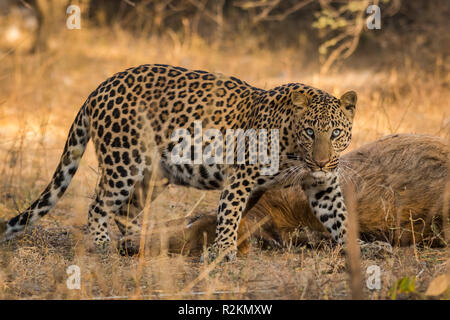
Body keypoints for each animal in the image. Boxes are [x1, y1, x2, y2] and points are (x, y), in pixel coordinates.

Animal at [0, 63, 358, 260]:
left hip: (153, 174)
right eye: (310, 131)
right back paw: (102, 245)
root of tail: (98, 88)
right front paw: (223, 251)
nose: (322, 162)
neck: (296, 151)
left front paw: (357, 250)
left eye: (336, 132)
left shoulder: (323, 186)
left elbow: (340, 216)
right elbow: (229, 215)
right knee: (99, 204)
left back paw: (142, 242)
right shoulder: (240, 177)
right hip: (122, 161)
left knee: (126, 210)